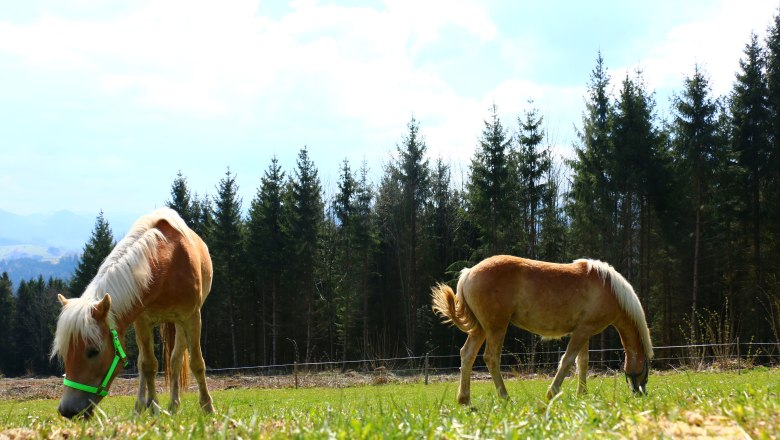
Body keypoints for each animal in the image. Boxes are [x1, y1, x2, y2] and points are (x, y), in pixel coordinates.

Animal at [51, 208, 213, 418]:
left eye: (93, 351)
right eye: (64, 353)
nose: (68, 410)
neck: (167, 265)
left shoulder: (192, 318)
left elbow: (197, 364)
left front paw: (208, 407)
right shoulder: (142, 322)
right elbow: (148, 365)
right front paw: (153, 408)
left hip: (181, 324)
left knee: (175, 360)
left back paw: (174, 405)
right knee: (144, 363)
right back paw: (141, 406)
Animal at [432, 254, 652, 406]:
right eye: (646, 370)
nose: (641, 393)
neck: (609, 289)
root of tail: (469, 272)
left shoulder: (584, 332)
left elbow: (582, 362)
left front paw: (582, 395)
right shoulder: (582, 332)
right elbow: (567, 361)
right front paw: (552, 393)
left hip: (481, 329)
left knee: (467, 355)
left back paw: (465, 399)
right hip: (496, 328)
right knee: (491, 358)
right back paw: (505, 397)